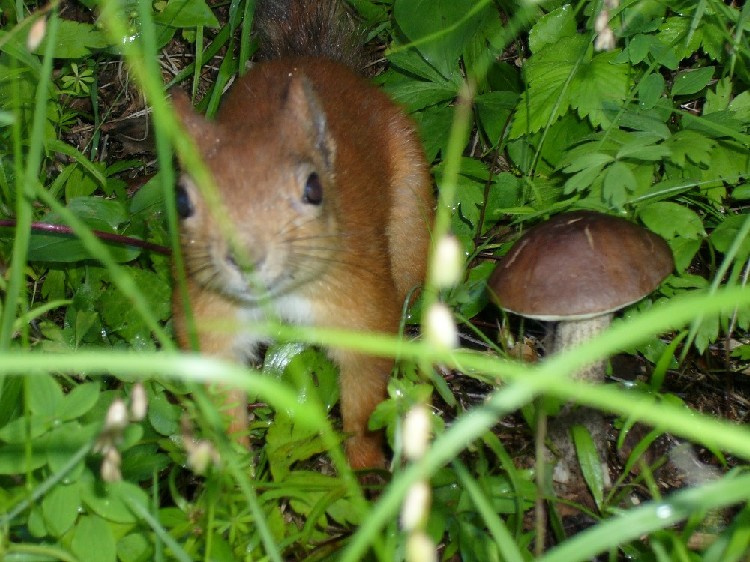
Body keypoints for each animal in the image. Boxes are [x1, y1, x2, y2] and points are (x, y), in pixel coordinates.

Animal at [171, 0, 434, 469]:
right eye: (181, 200)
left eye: (314, 189)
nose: (245, 258)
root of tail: (307, 60)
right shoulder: (209, 316)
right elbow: (221, 396)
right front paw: (235, 473)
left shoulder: (358, 303)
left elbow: (365, 401)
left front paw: (365, 470)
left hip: (411, 210)